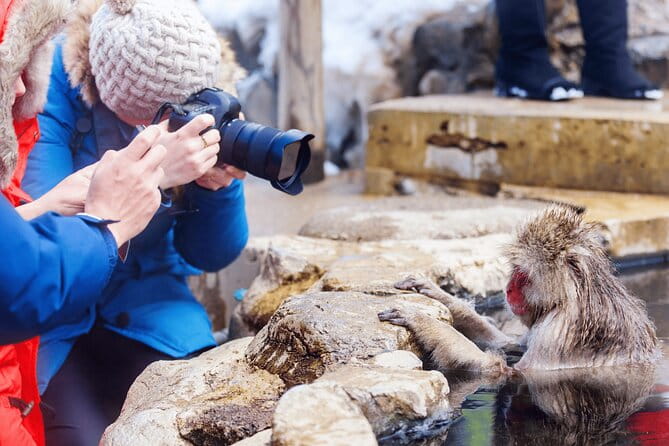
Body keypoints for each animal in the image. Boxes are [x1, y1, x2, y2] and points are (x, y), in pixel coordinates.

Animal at [379, 204, 658, 373]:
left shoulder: (558, 331)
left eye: (522, 274)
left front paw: (425, 323)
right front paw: (436, 292)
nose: (508, 290)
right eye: (513, 268)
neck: (572, 297)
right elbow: (507, 343)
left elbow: (508, 373)